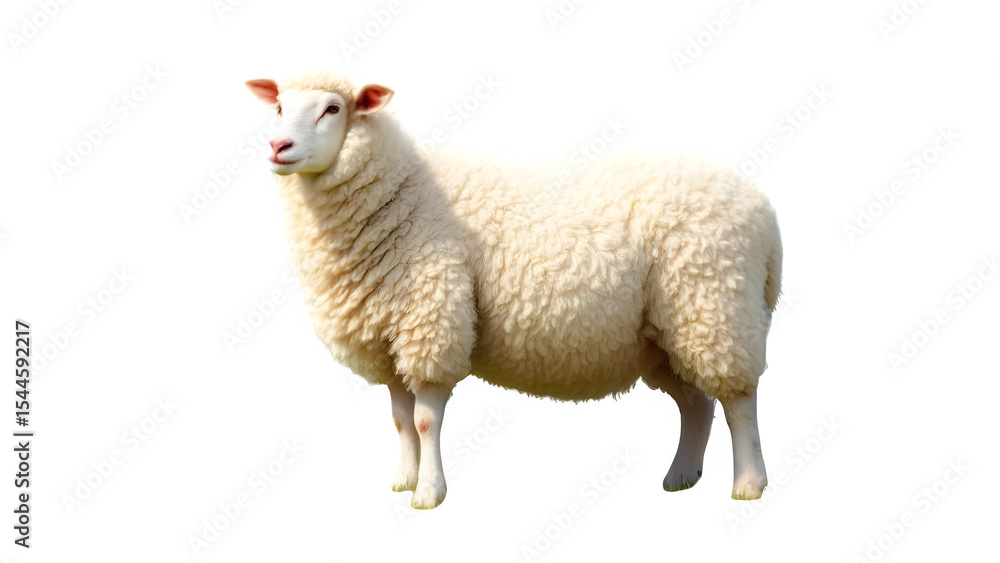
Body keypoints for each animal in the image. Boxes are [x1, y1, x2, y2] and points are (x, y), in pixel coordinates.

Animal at [245, 71, 783, 509]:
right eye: (279, 106)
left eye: (333, 108)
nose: (278, 146)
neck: (403, 192)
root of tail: (764, 212)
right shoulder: (390, 339)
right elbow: (400, 421)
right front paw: (403, 481)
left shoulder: (433, 319)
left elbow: (425, 421)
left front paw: (428, 494)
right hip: (665, 334)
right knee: (696, 404)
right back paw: (681, 476)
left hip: (716, 304)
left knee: (739, 403)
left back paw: (749, 485)